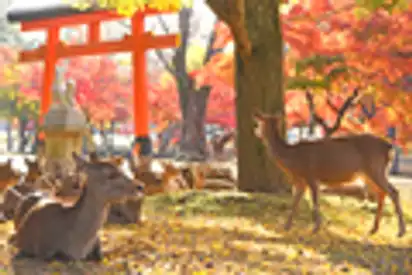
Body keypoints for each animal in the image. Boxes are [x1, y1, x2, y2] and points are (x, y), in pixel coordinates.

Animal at [253, 111, 408, 238]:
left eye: (260, 123)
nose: (256, 131)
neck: (292, 160)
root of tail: (389, 148)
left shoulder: (311, 175)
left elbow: (315, 201)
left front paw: (316, 227)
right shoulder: (301, 181)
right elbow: (295, 203)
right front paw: (286, 226)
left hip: (375, 168)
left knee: (393, 192)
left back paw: (401, 231)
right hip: (368, 173)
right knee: (382, 193)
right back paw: (374, 229)